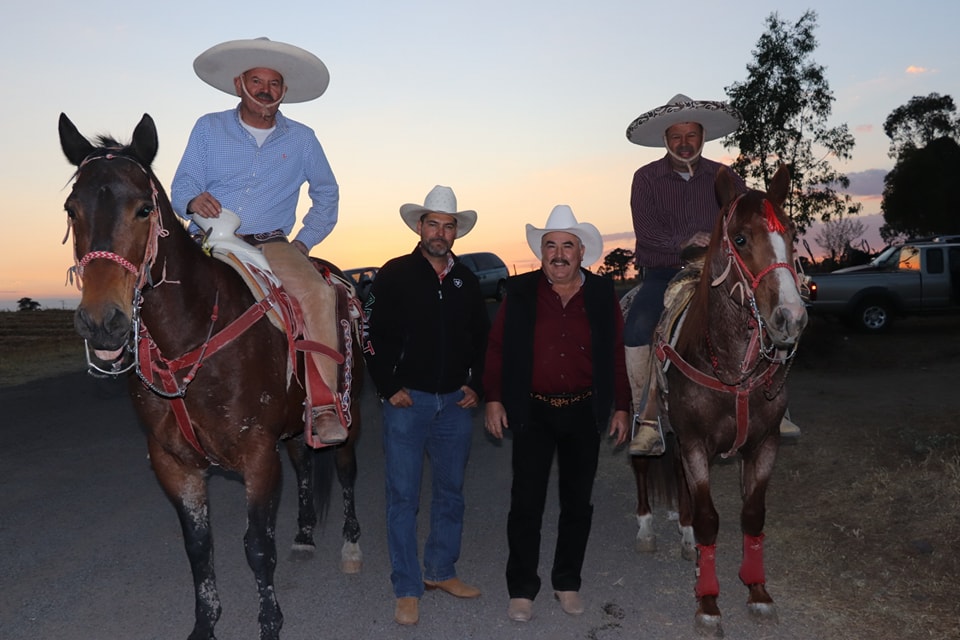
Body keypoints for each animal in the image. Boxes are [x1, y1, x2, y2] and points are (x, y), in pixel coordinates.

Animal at [58, 115, 364, 640]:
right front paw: (205, 625)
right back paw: (305, 534)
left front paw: (269, 624)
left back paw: (350, 543)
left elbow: (258, 547)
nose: (102, 322)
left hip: (348, 411)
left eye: (143, 209)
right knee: (305, 462)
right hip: (293, 427)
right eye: (71, 209)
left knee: (344, 469)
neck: (191, 333)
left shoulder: (258, 456)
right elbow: (200, 549)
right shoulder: (174, 464)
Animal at [632, 165, 804, 636]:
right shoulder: (695, 442)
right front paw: (708, 603)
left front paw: (758, 593)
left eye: (793, 234)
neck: (729, 364)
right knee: (642, 464)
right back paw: (647, 530)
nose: (790, 318)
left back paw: (686, 539)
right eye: (740, 239)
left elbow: (752, 515)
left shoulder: (763, 444)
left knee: (677, 477)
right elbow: (711, 518)